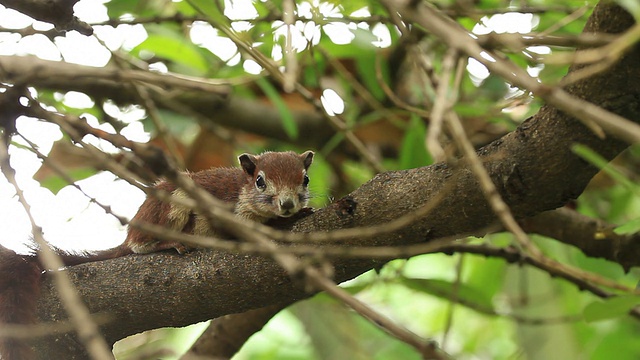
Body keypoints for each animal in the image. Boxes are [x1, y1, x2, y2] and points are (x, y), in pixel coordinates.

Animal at [0, 150, 316, 360]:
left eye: (305, 179)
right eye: (260, 181)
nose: (288, 204)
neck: (242, 190)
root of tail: (129, 233)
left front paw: (300, 212)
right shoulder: (227, 213)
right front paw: (285, 222)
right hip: (170, 205)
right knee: (138, 246)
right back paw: (165, 244)